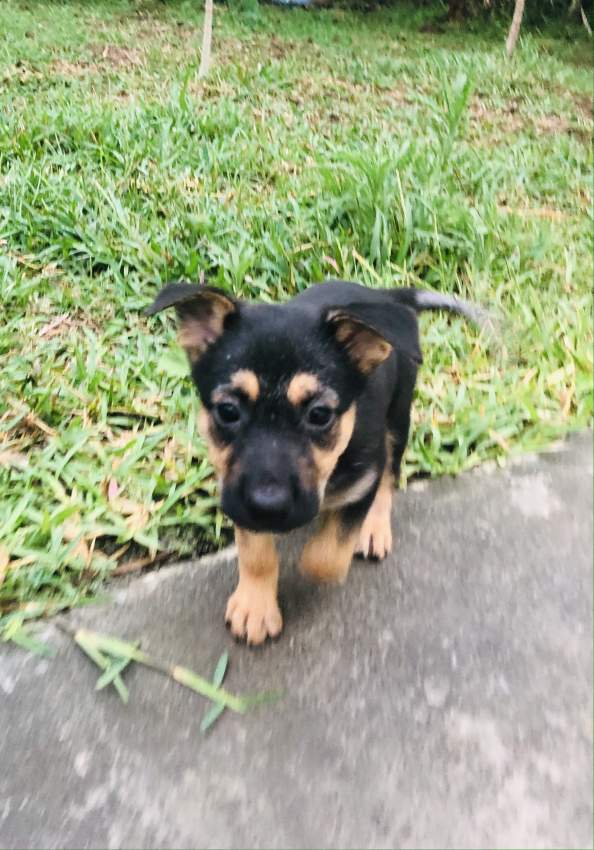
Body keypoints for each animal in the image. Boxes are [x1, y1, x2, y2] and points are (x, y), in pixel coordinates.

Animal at [146, 278, 478, 644]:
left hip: (398, 417)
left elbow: (326, 556)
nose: (268, 507)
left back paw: (374, 528)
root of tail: (382, 296)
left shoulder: (363, 479)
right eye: (228, 411)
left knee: (390, 476)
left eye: (319, 414)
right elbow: (256, 553)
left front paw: (312, 562)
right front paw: (255, 606)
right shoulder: (237, 492)